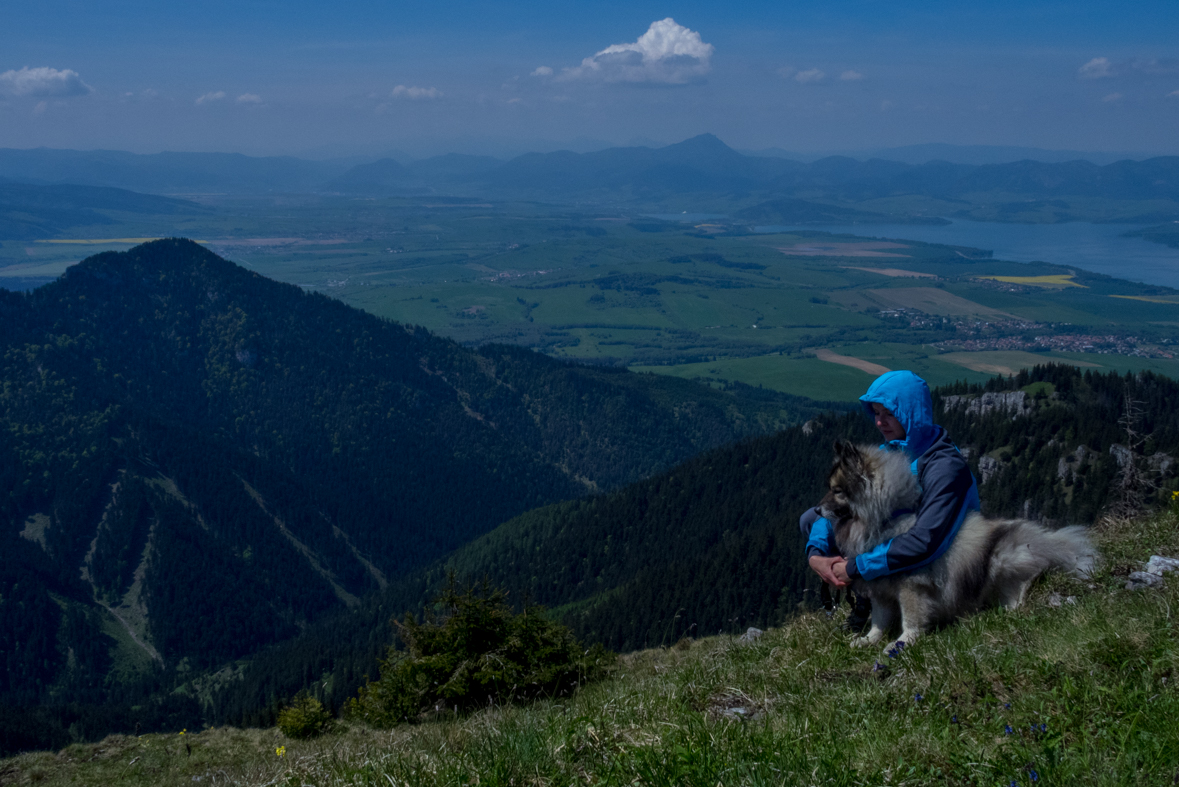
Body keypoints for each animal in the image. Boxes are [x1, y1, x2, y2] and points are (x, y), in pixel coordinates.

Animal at [820, 442, 1094, 650]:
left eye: (837, 491)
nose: (817, 509)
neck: (888, 519)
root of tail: (1048, 542)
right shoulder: (881, 590)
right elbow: (879, 620)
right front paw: (868, 640)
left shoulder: (912, 587)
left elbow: (911, 620)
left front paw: (902, 643)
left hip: (1001, 558)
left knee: (1025, 582)